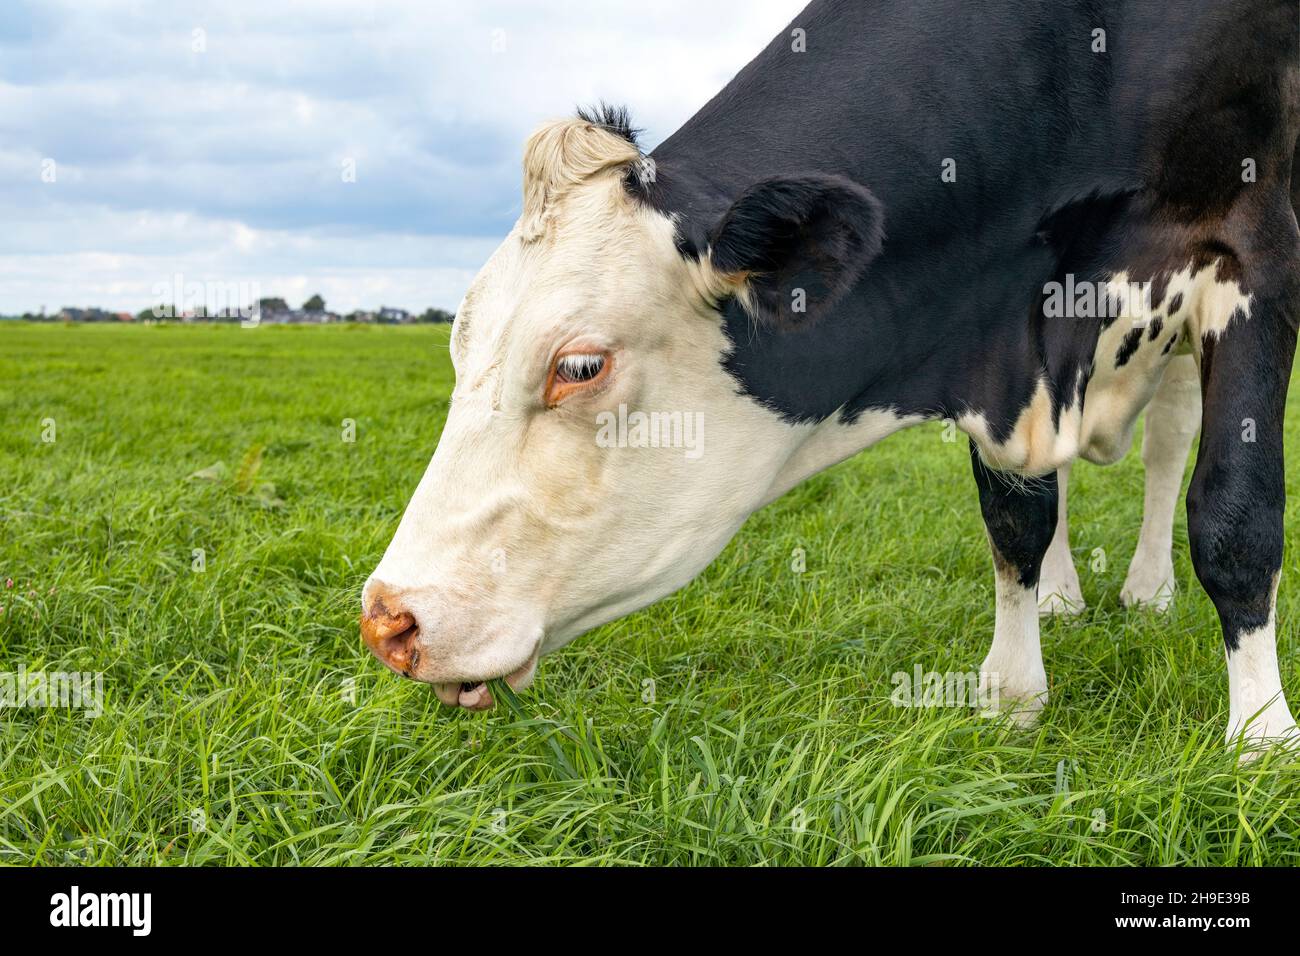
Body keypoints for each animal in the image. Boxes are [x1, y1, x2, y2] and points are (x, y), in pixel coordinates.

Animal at [358, 0, 1300, 764]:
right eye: (459, 345)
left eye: (579, 366)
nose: (387, 620)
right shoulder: (991, 332)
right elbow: (1015, 518)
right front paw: (1014, 691)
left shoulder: (1254, 249)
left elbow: (1235, 513)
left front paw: (1260, 736)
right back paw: (1071, 593)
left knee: (1169, 450)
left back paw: (1148, 590)